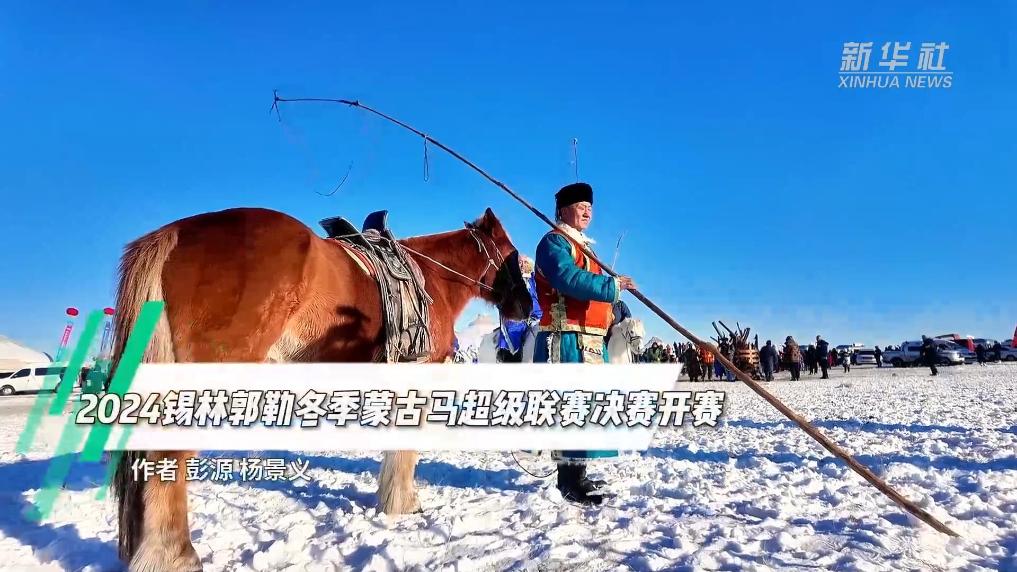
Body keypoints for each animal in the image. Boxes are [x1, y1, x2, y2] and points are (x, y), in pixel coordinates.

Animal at [109, 205, 532, 569]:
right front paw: (404, 502)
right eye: (512, 254)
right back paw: (175, 554)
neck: (432, 277)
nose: (526, 305)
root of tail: (176, 233)